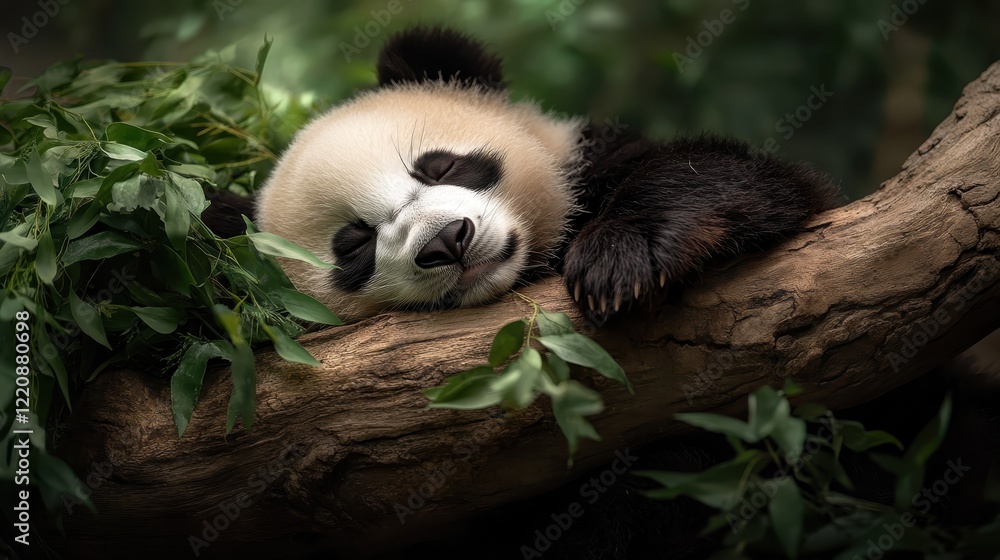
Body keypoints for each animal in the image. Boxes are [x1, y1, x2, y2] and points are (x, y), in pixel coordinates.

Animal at [206, 26, 837, 323]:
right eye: (354, 245)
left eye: (440, 166)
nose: (446, 242)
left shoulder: (587, 158)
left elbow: (734, 177)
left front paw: (617, 260)